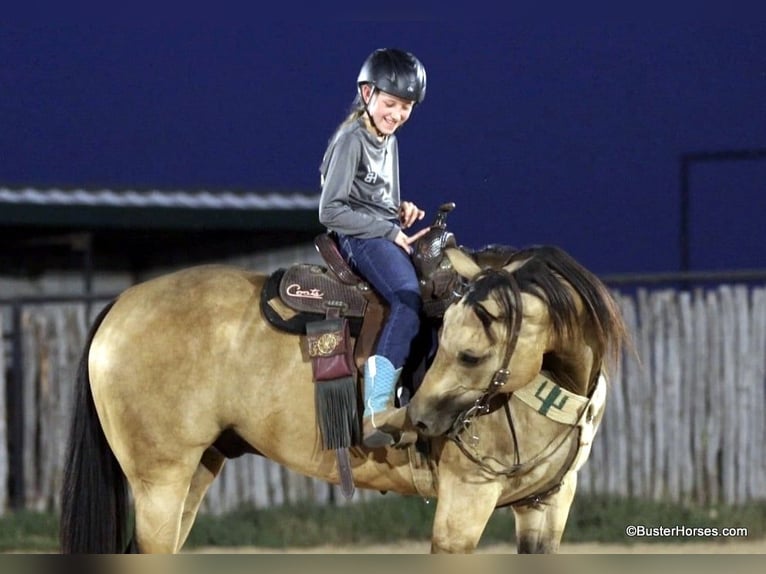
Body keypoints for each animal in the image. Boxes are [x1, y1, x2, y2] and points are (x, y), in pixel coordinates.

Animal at [59, 242, 628, 554]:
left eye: (468, 354)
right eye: (445, 342)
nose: (417, 420)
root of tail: (122, 304)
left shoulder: (547, 506)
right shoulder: (465, 503)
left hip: (196, 471)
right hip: (160, 482)